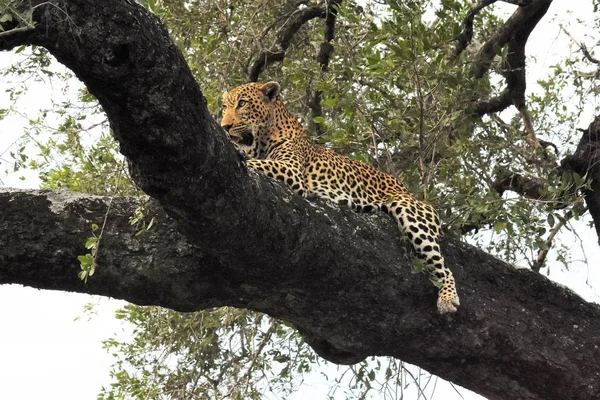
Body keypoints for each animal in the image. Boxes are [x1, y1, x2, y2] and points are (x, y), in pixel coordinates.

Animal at [220, 80, 460, 312]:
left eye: (242, 103)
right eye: (225, 107)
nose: (224, 127)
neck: (262, 139)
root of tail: (409, 192)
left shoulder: (292, 170)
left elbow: (256, 163)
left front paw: (241, 155)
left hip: (409, 210)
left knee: (444, 266)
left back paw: (447, 298)